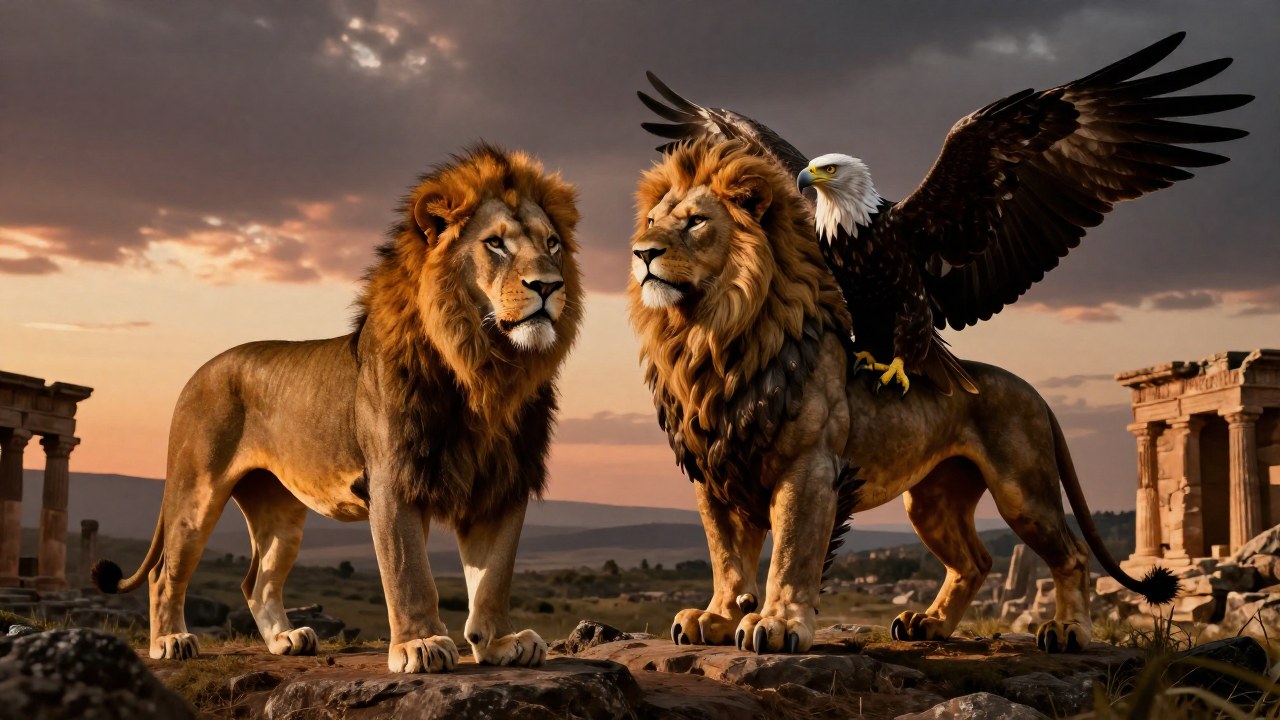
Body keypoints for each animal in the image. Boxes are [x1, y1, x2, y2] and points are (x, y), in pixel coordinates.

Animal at [92, 144, 583, 673]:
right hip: (195, 492)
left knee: (257, 580)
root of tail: (198, 372)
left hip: (279, 511)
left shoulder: (503, 480)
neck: (486, 369)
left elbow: (494, 575)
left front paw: (499, 642)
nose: (549, 286)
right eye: (495, 244)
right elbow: (409, 572)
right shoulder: (394, 478)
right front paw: (420, 644)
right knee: (165, 572)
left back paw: (286, 639)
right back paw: (171, 641)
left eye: (552, 243)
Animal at [627, 138, 1175, 655]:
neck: (709, 343)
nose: (641, 253)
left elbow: (791, 553)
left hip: (1023, 491)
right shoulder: (711, 471)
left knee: (1073, 555)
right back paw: (926, 624)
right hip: (932, 500)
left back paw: (1067, 631)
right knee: (975, 562)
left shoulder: (811, 468)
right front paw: (716, 617)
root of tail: (1032, 390)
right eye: (652, 221)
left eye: (696, 222)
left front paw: (777, 624)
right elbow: (726, 556)